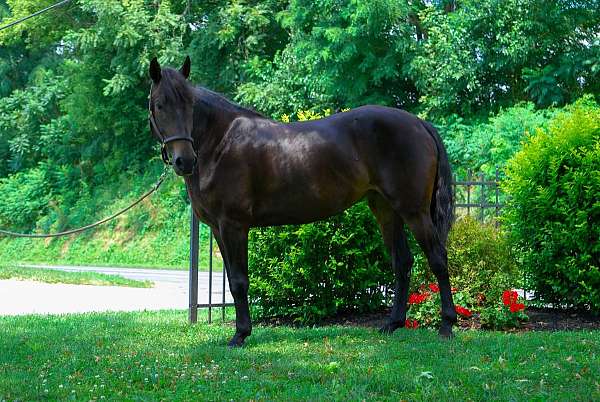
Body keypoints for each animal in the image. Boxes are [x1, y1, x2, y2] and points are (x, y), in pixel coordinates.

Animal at [149, 56, 454, 346]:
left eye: (190, 104)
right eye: (160, 105)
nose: (184, 160)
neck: (220, 143)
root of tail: (419, 123)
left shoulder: (233, 226)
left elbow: (238, 281)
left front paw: (240, 335)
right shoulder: (217, 228)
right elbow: (235, 280)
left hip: (414, 211)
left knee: (437, 259)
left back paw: (446, 325)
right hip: (386, 210)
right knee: (402, 262)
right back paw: (393, 324)